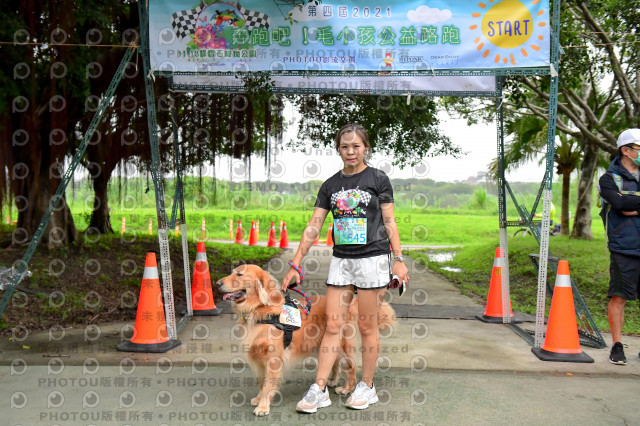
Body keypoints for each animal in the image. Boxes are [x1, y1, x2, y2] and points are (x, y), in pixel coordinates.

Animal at [216, 264, 396, 416]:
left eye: (239, 274)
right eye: (232, 272)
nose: (217, 283)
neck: (260, 310)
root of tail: (349, 305)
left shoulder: (273, 359)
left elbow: (268, 385)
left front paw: (263, 406)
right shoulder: (257, 358)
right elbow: (261, 382)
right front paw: (259, 399)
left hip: (340, 345)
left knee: (350, 367)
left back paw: (347, 389)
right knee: (335, 364)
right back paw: (332, 381)